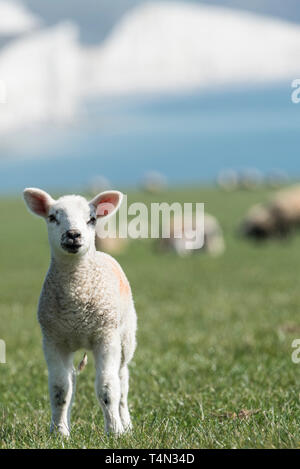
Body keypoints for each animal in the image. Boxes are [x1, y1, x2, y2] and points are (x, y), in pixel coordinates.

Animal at [22, 188, 137, 436]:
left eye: (92, 219)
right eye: (52, 217)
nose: (73, 234)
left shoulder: (106, 336)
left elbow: (108, 387)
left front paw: (114, 431)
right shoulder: (53, 340)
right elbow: (60, 390)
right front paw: (59, 433)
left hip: (126, 337)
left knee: (122, 379)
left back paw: (126, 423)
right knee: (72, 380)